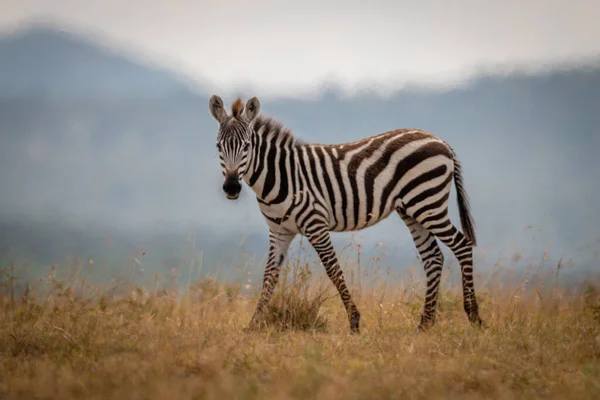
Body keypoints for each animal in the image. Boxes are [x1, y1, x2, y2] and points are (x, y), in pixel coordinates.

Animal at [209, 94, 486, 334]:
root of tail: (440, 141)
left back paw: (474, 316)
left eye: (246, 146)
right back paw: (424, 324)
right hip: (413, 210)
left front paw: (354, 322)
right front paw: (253, 325)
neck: (281, 175)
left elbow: (333, 270)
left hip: (428, 203)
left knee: (461, 245)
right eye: (219, 146)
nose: (232, 187)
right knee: (433, 258)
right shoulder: (279, 231)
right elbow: (269, 276)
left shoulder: (316, 225)